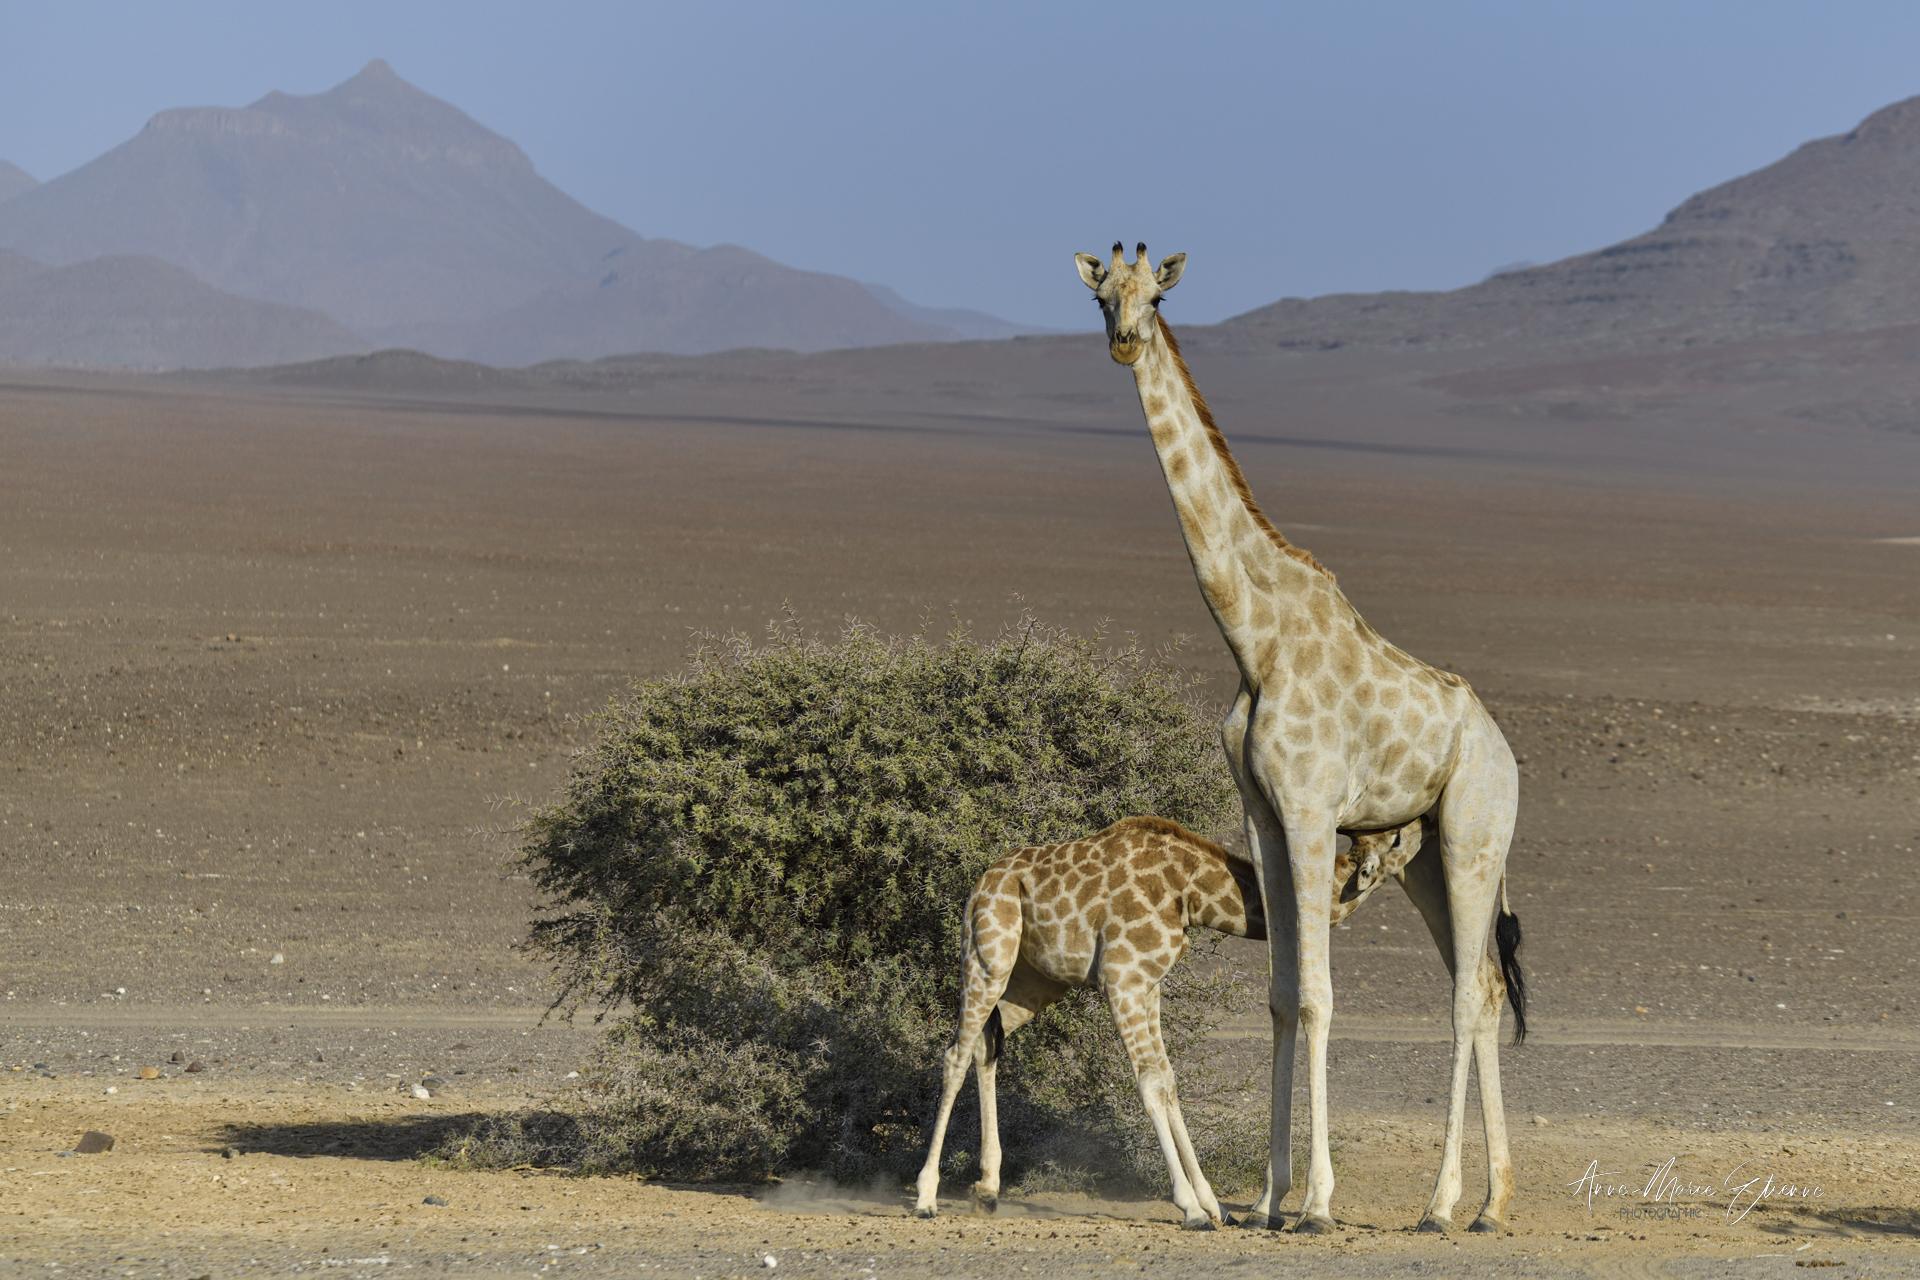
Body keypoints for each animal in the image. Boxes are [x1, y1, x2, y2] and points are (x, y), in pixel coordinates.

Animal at [910, 821, 1259, 1228]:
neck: (1187, 890)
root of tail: (982, 882)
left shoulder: (1149, 985)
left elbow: (1168, 1079)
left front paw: (1215, 1205)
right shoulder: (1121, 978)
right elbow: (1151, 1082)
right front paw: (1191, 1207)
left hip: (1035, 982)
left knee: (987, 1044)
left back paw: (987, 1190)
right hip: (987, 959)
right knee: (956, 1054)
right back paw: (926, 1197)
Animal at [1082, 245, 1528, 1235]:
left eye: (1156, 295)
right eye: (1099, 296)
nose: (1124, 342)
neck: (1253, 636)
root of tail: (1503, 749)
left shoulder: (1314, 810)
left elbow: (1321, 998)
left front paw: (1318, 1201)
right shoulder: (1263, 812)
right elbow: (1283, 996)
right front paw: (1264, 1198)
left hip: (1476, 835)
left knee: (1463, 998)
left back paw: (1441, 1204)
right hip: (1426, 858)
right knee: (1483, 988)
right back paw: (1492, 1202)